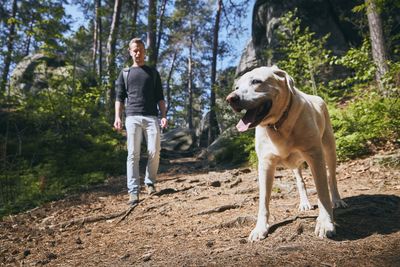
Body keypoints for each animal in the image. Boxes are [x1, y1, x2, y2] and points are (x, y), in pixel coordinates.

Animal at [228, 66, 346, 242]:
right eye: (236, 87)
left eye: (256, 81)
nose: (230, 98)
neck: (278, 124)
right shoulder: (265, 164)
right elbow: (263, 201)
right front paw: (260, 228)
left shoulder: (315, 155)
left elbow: (323, 192)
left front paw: (326, 223)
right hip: (296, 164)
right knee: (300, 181)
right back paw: (304, 203)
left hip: (329, 149)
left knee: (331, 178)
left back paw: (337, 200)